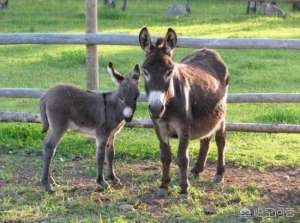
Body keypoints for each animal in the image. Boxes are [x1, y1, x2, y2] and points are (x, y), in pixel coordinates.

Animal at [39, 62, 141, 192]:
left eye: (136, 97)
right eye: (121, 98)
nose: (128, 118)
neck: (113, 107)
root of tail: (46, 95)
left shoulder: (112, 135)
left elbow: (111, 154)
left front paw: (113, 178)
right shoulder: (102, 134)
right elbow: (100, 157)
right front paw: (101, 182)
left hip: (53, 127)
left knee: (47, 146)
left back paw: (51, 180)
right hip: (59, 126)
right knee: (49, 147)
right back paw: (46, 184)